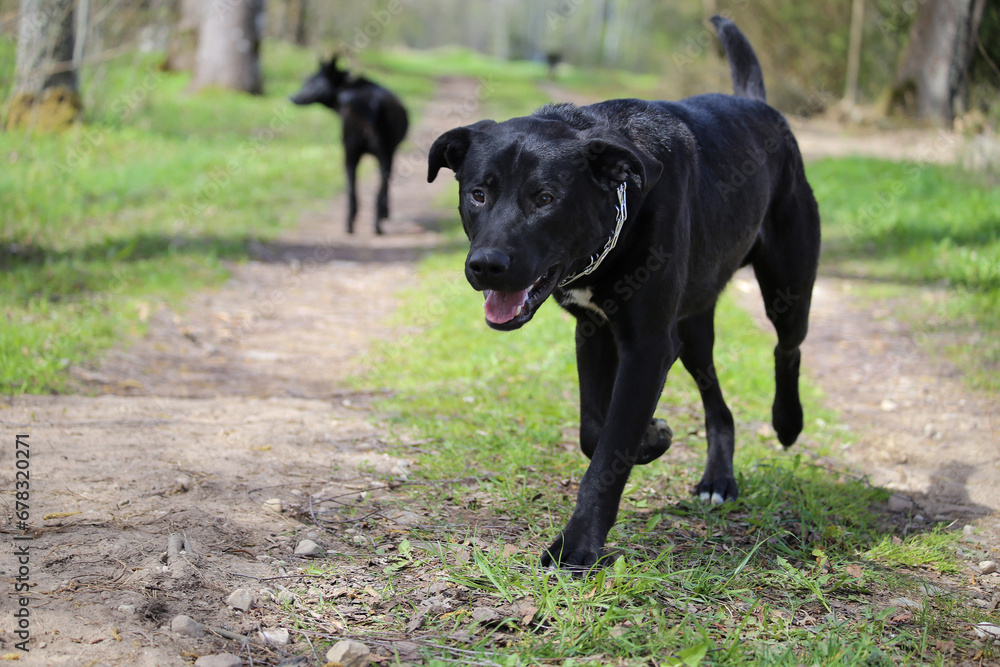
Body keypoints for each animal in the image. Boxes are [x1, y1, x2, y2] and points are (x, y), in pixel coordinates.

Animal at [292, 56, 408, 235]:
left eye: (311, 83)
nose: (291, 97)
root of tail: (372, 103)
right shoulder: (391, 155)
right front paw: (385, 213)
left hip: (354, 155)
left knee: (354, 192)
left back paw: (354, 224)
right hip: (376, 156)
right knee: (374, 192)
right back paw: (373, 224)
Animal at [428, 18, 820, 572]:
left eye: (545, 199)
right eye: (477, 194)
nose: (485, 265)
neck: (623, 205)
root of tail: (758, 104)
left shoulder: (648, 346)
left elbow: (609, 447)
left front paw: (576, 547)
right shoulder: (595, 332)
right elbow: (595, 430)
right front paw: (653, 438)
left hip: (786, 288)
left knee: (788, 347)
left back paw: (787, 422)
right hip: (692, 329)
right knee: (717, 403)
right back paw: (718, 480)